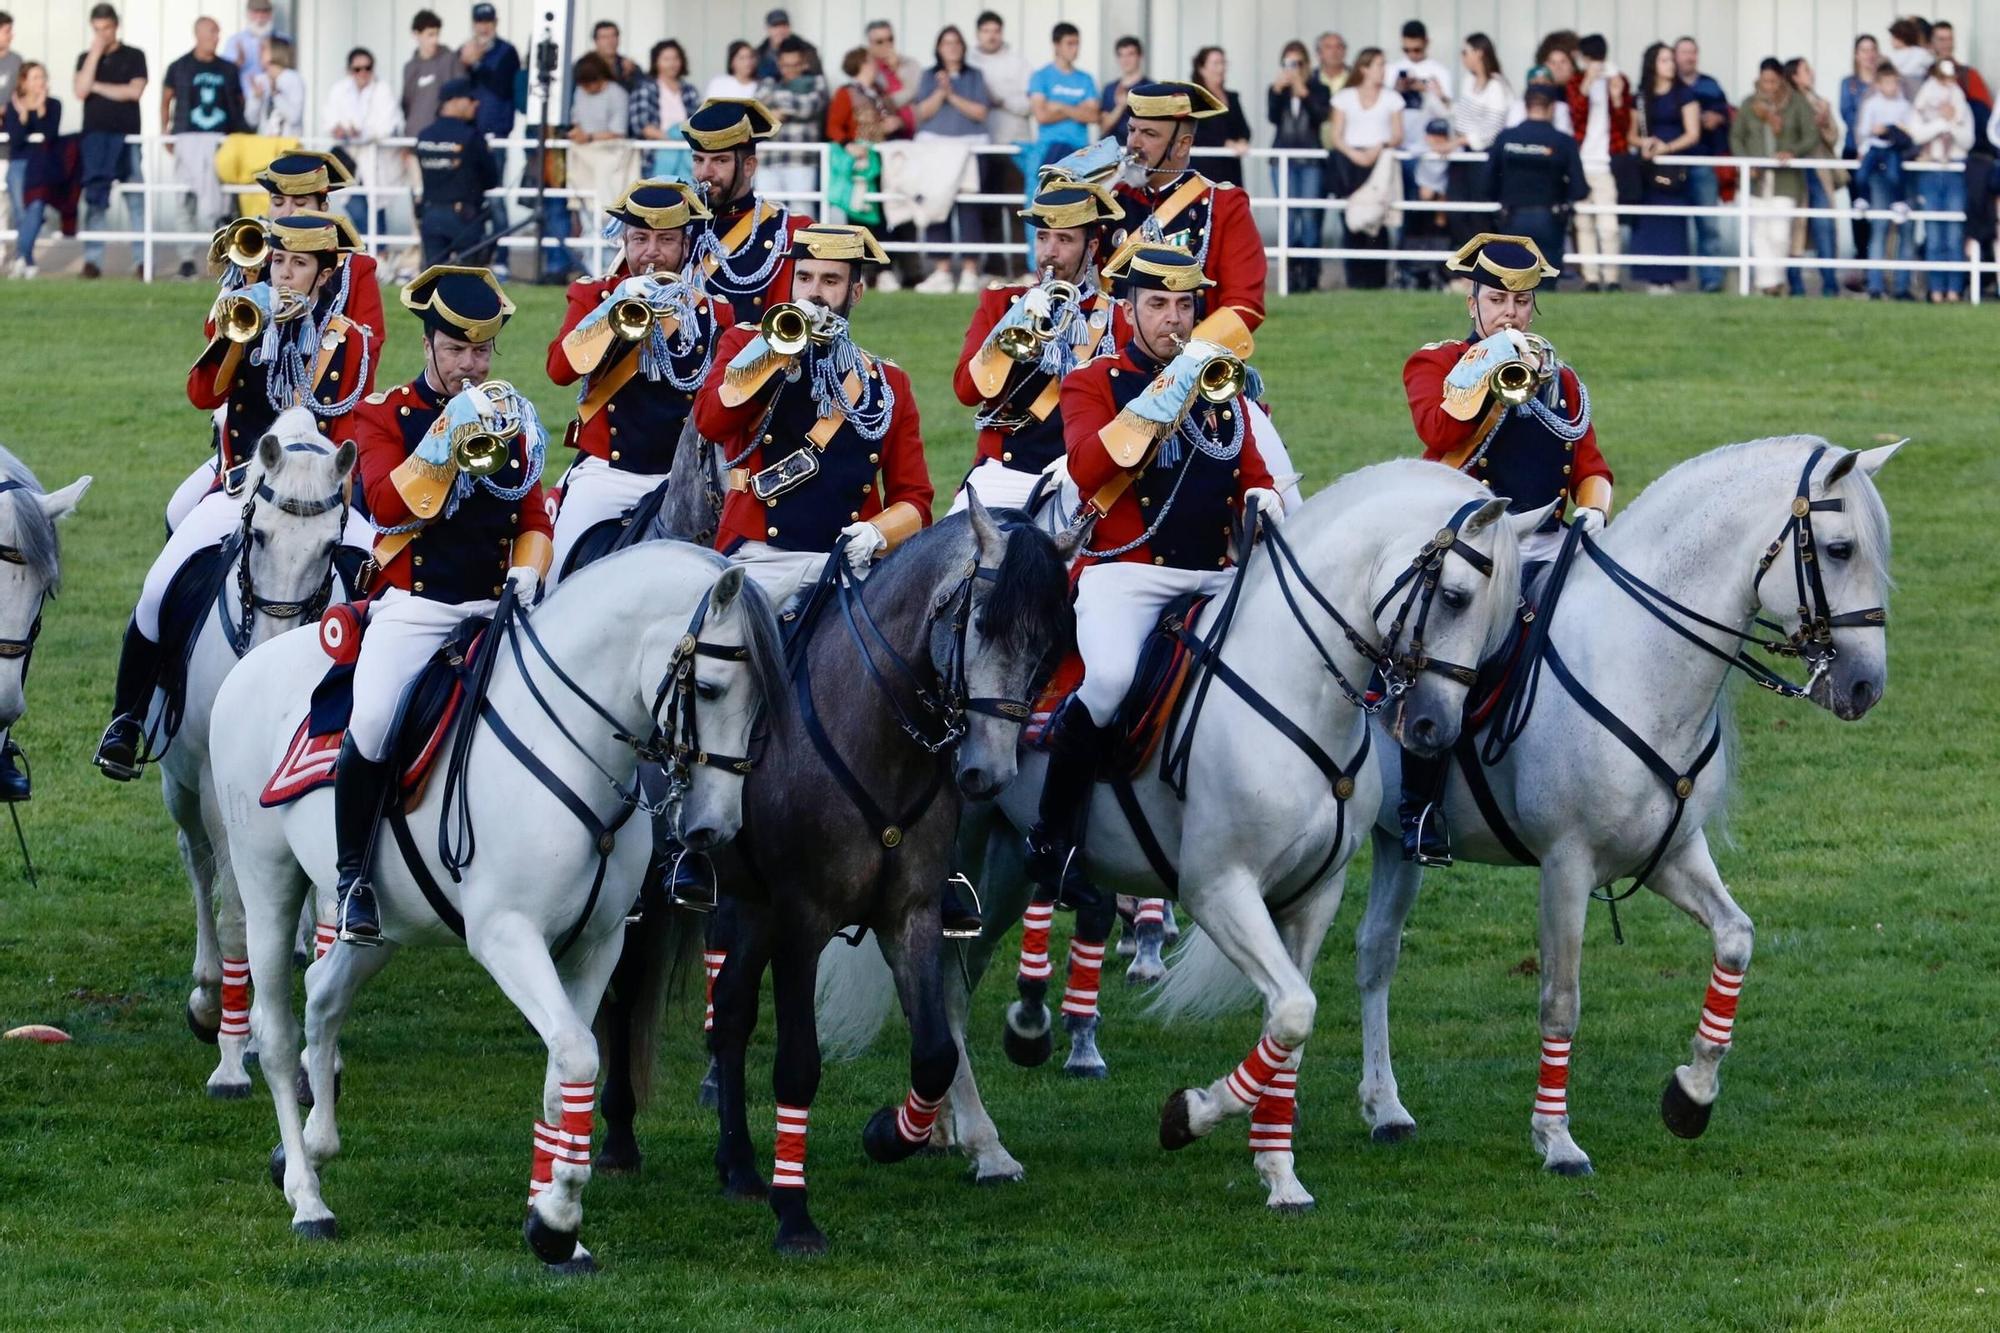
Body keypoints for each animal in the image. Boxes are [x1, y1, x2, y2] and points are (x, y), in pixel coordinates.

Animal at [156, 410, 364, 1096]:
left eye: (329, 548)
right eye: (261, 536)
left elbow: (325, 909)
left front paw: (320, 1057)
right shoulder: (219, 794)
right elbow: (236, 915)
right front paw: (229, 1052)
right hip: (181, 789)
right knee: (198, 864)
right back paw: (210, 992)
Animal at [215, 540, 780, 1264]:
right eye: (708, 689)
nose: (716, 827)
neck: (569, 748)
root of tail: (252, 667)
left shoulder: (598, 944)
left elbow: (562, 1068)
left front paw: (550, 1224)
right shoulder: (507, 936)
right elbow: (578, 1053)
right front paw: (560, 1218)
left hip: (388, 923)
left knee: (323, 994)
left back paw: (309, 1147)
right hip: (267, 882)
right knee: (280, 1033)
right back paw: (308, 1200)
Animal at [820, 460, 1536, 1200]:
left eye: (1499, 619)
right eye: (1454, 597)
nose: (1433, 728)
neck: (1291, 682)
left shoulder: (1315, 895)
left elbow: (1292, 1023)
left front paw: (1279, 1171)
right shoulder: (1218, 888)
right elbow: (1292, 1011)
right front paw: (1188, 1116)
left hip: (1008, 868)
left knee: (954, 985)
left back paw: (953, 1126)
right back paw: (982, 1143)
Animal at [1352, 438, 1896, 1176]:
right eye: (1840, 550)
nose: (1867, 685)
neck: (1639, 662)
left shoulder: (1671, 852)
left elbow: (1736, 939)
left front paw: (1691, 1095)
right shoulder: (1567, 864)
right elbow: (1560, 1000)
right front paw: (1556, 1139)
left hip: (1394, 845)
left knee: (1375, 951)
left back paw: (1385, 1109)